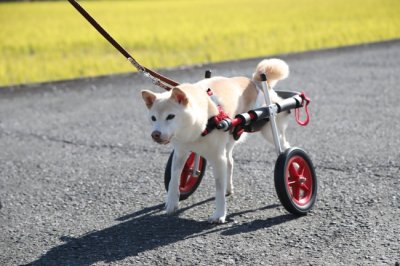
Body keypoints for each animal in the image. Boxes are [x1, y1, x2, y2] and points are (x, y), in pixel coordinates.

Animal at [141, 58, 290, 222]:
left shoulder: (217, 159)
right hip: (230, 137)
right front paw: (171, 203)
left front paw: (219, 214)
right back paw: (228, 188)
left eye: (170, 116)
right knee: (230, 161)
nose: (155, 134)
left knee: (285, 147)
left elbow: (218, 189)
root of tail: (255, 81)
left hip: (268, 130)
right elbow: (174, 179)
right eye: (153, 118)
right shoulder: (180, 153)